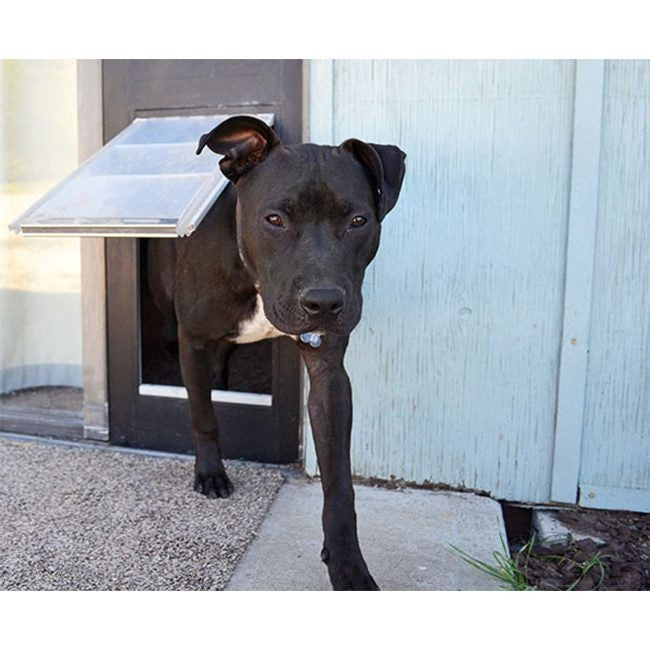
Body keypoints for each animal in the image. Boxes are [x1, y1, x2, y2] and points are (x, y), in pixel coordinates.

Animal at [153, 116, 404, 588]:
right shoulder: (192, 339)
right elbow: (202, 413)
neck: (252, 277)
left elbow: (339, 484)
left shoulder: (329, 373)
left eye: (359, 220)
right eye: (274, 219)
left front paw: (347, 565)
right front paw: (210, 472)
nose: (324, 303)